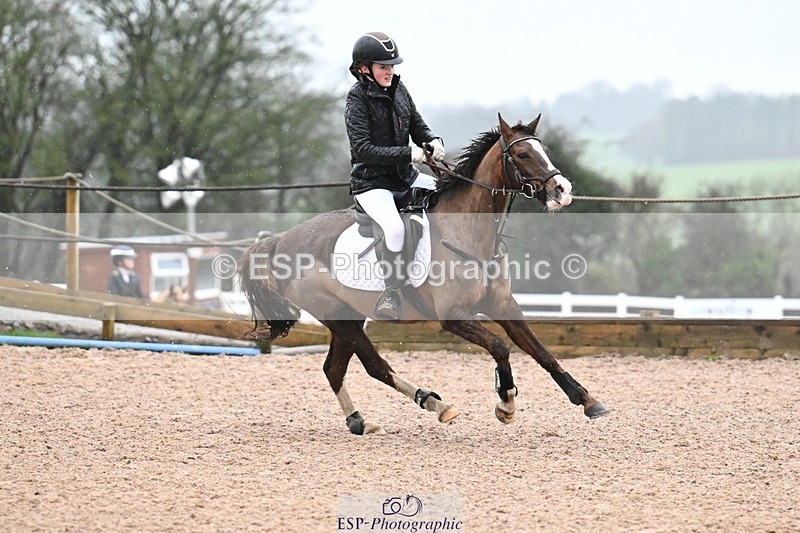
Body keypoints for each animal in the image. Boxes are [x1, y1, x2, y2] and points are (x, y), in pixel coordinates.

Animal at [239, 114, 610, 435]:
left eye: (545, 151)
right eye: (521, 154)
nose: (563, 190)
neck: (470, 234)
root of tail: (281, 240)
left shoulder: (503, 305)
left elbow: (541, 351)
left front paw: (587, 400)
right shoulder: (453, 317)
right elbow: (500, 347)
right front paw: (505, 403)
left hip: (349, 317)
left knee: (334, 369)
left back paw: (360, 421)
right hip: (337, 316)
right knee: (374, 365)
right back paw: (434, 404)